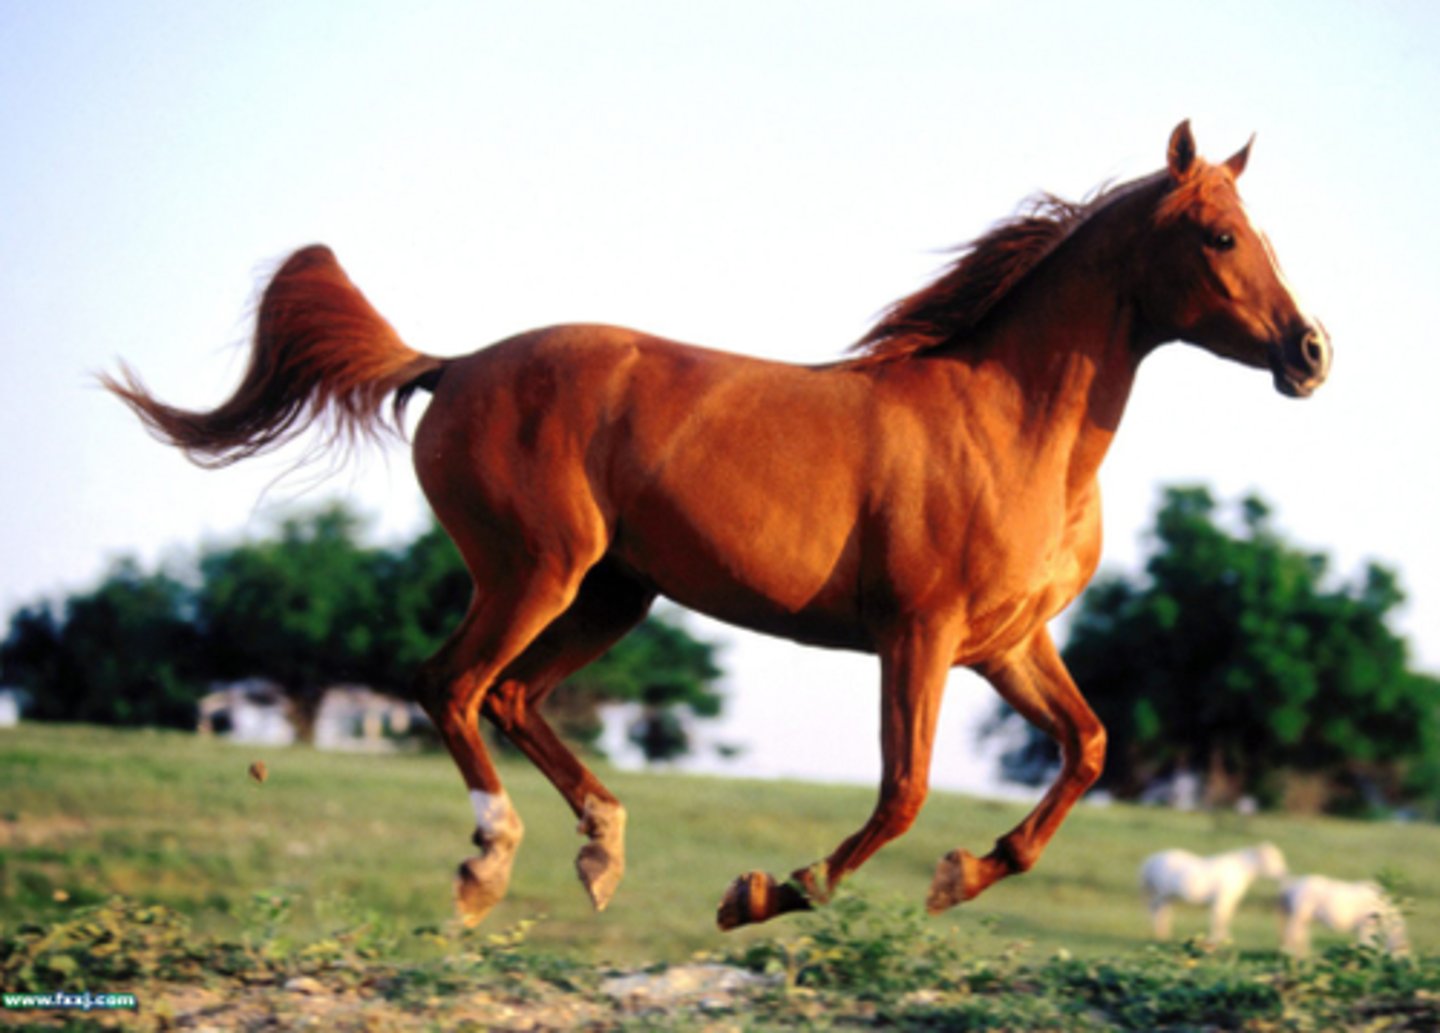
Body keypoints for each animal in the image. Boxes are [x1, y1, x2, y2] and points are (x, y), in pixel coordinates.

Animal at [102, 120, 1331, 931]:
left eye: (1259, 228)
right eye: (1220, 236)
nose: (1310, 352)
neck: (1011, 424)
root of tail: (452, 366)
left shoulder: (1009, 644)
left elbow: (1087, 748)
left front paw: (962, 874)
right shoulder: (920, 636)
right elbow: (902, 791)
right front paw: (771, 893)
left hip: (614, 591)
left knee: (512, 695)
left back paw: (601, 854)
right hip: (535, 571)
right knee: (451, 684)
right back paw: (489, 865)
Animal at [1140, 843, 1288, 942]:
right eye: (1272, 859)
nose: (1284, 872)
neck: (1238, 869)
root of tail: (1151, 860)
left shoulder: (1228, 901)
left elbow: (1224, 918)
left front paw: (1225, 939)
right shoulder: (1222, 900)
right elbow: (1219, 918)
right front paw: (1216, 940)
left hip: (1167, 897)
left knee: (1163, 912)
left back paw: (1164, 934)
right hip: (1160, 895)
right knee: (1157, 912)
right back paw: (1160, 935)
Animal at [1280, 875, 1408, 956]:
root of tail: (1293, 886)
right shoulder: (1366, 927)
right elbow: (1366, 945)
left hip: (1304, 919)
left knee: (1299, 937)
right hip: (1299, 918)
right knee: (1293, 936)